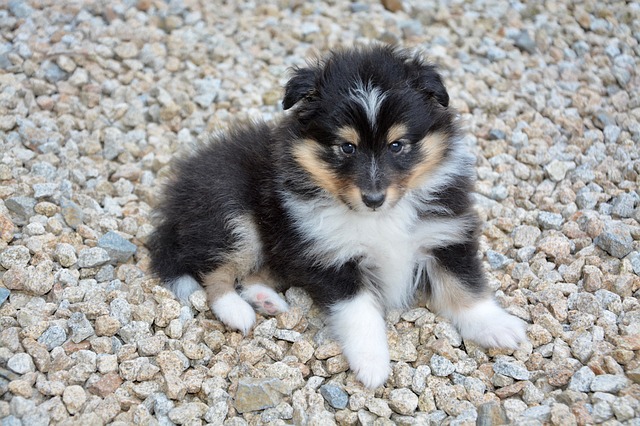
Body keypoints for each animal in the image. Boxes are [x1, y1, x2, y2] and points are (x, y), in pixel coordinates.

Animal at [148, 45, 528, 388]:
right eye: (347, 147)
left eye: (397, 145)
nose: (373, 199)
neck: (379, 218)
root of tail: (175, 202)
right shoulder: (330, 256)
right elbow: (360, 312)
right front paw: (372, 364)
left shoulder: (445, 234)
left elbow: (465, 285)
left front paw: (497, 327)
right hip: (234, 216)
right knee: (214, 274)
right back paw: (238, 311)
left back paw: (268, 301)